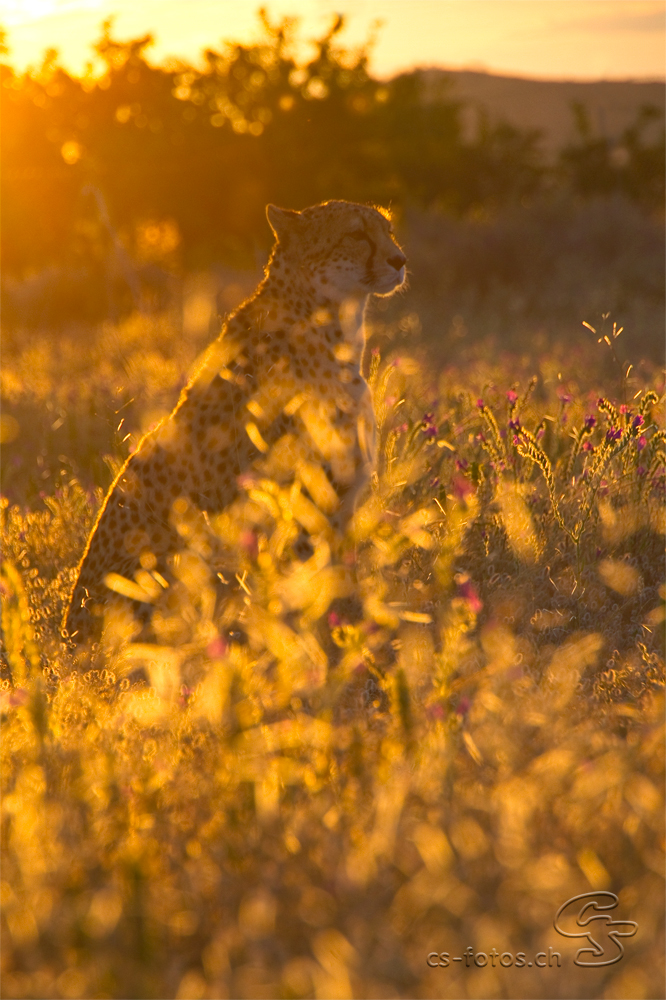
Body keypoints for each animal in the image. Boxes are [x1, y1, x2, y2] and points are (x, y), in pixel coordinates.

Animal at [65, 199, 404, 644]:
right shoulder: (302, 501)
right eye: (355, 234)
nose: (399, 260)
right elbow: (309, 589)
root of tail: (69, 636)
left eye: (388, 230)